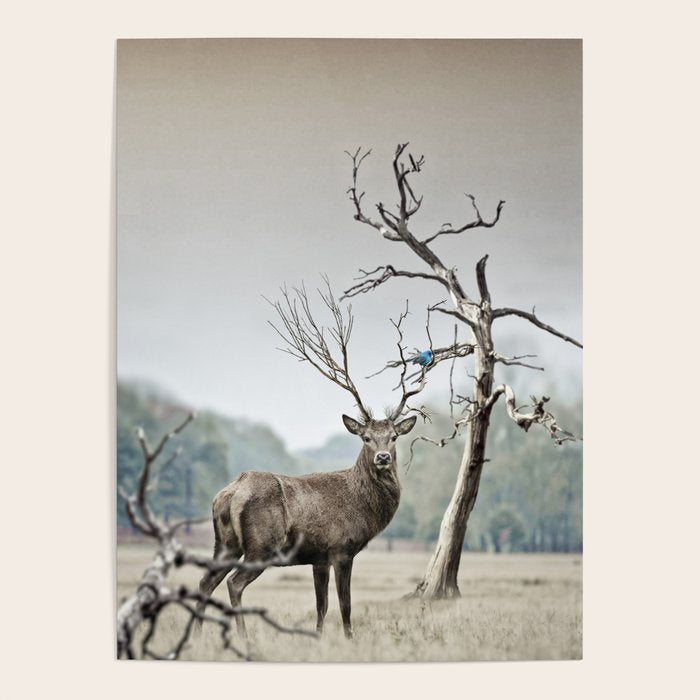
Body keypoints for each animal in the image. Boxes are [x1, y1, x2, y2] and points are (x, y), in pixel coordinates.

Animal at [196, 284, 427, 639]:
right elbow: (345, 604)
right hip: (262, 545)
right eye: (365, 438)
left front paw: (318, 638)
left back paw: (195, 636)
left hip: (225, 542)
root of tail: (230, 492)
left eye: (393, 437)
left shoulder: (319, 556)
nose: (383, 457)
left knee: (205, 581)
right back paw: (243, 636)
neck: (363, 508)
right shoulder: (341, 548)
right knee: (234, 584)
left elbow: (322, 605)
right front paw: (349, 639)